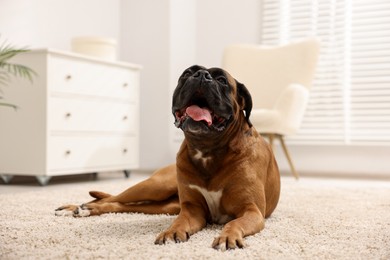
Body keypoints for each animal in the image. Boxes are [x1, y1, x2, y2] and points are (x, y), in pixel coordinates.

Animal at [55, 65, 280, 250]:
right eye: (187, 73)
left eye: (222, 80)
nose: (201, 75)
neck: (207, 149)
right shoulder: (191, 211)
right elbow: (179, 222)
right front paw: (171, 232)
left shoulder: (251, 211)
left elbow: (234, 222)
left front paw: (228, 237)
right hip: (155, 187)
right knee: (114, 198)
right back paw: (78, 208)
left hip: (166, 205)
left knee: (121, 204)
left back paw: (84, 209)